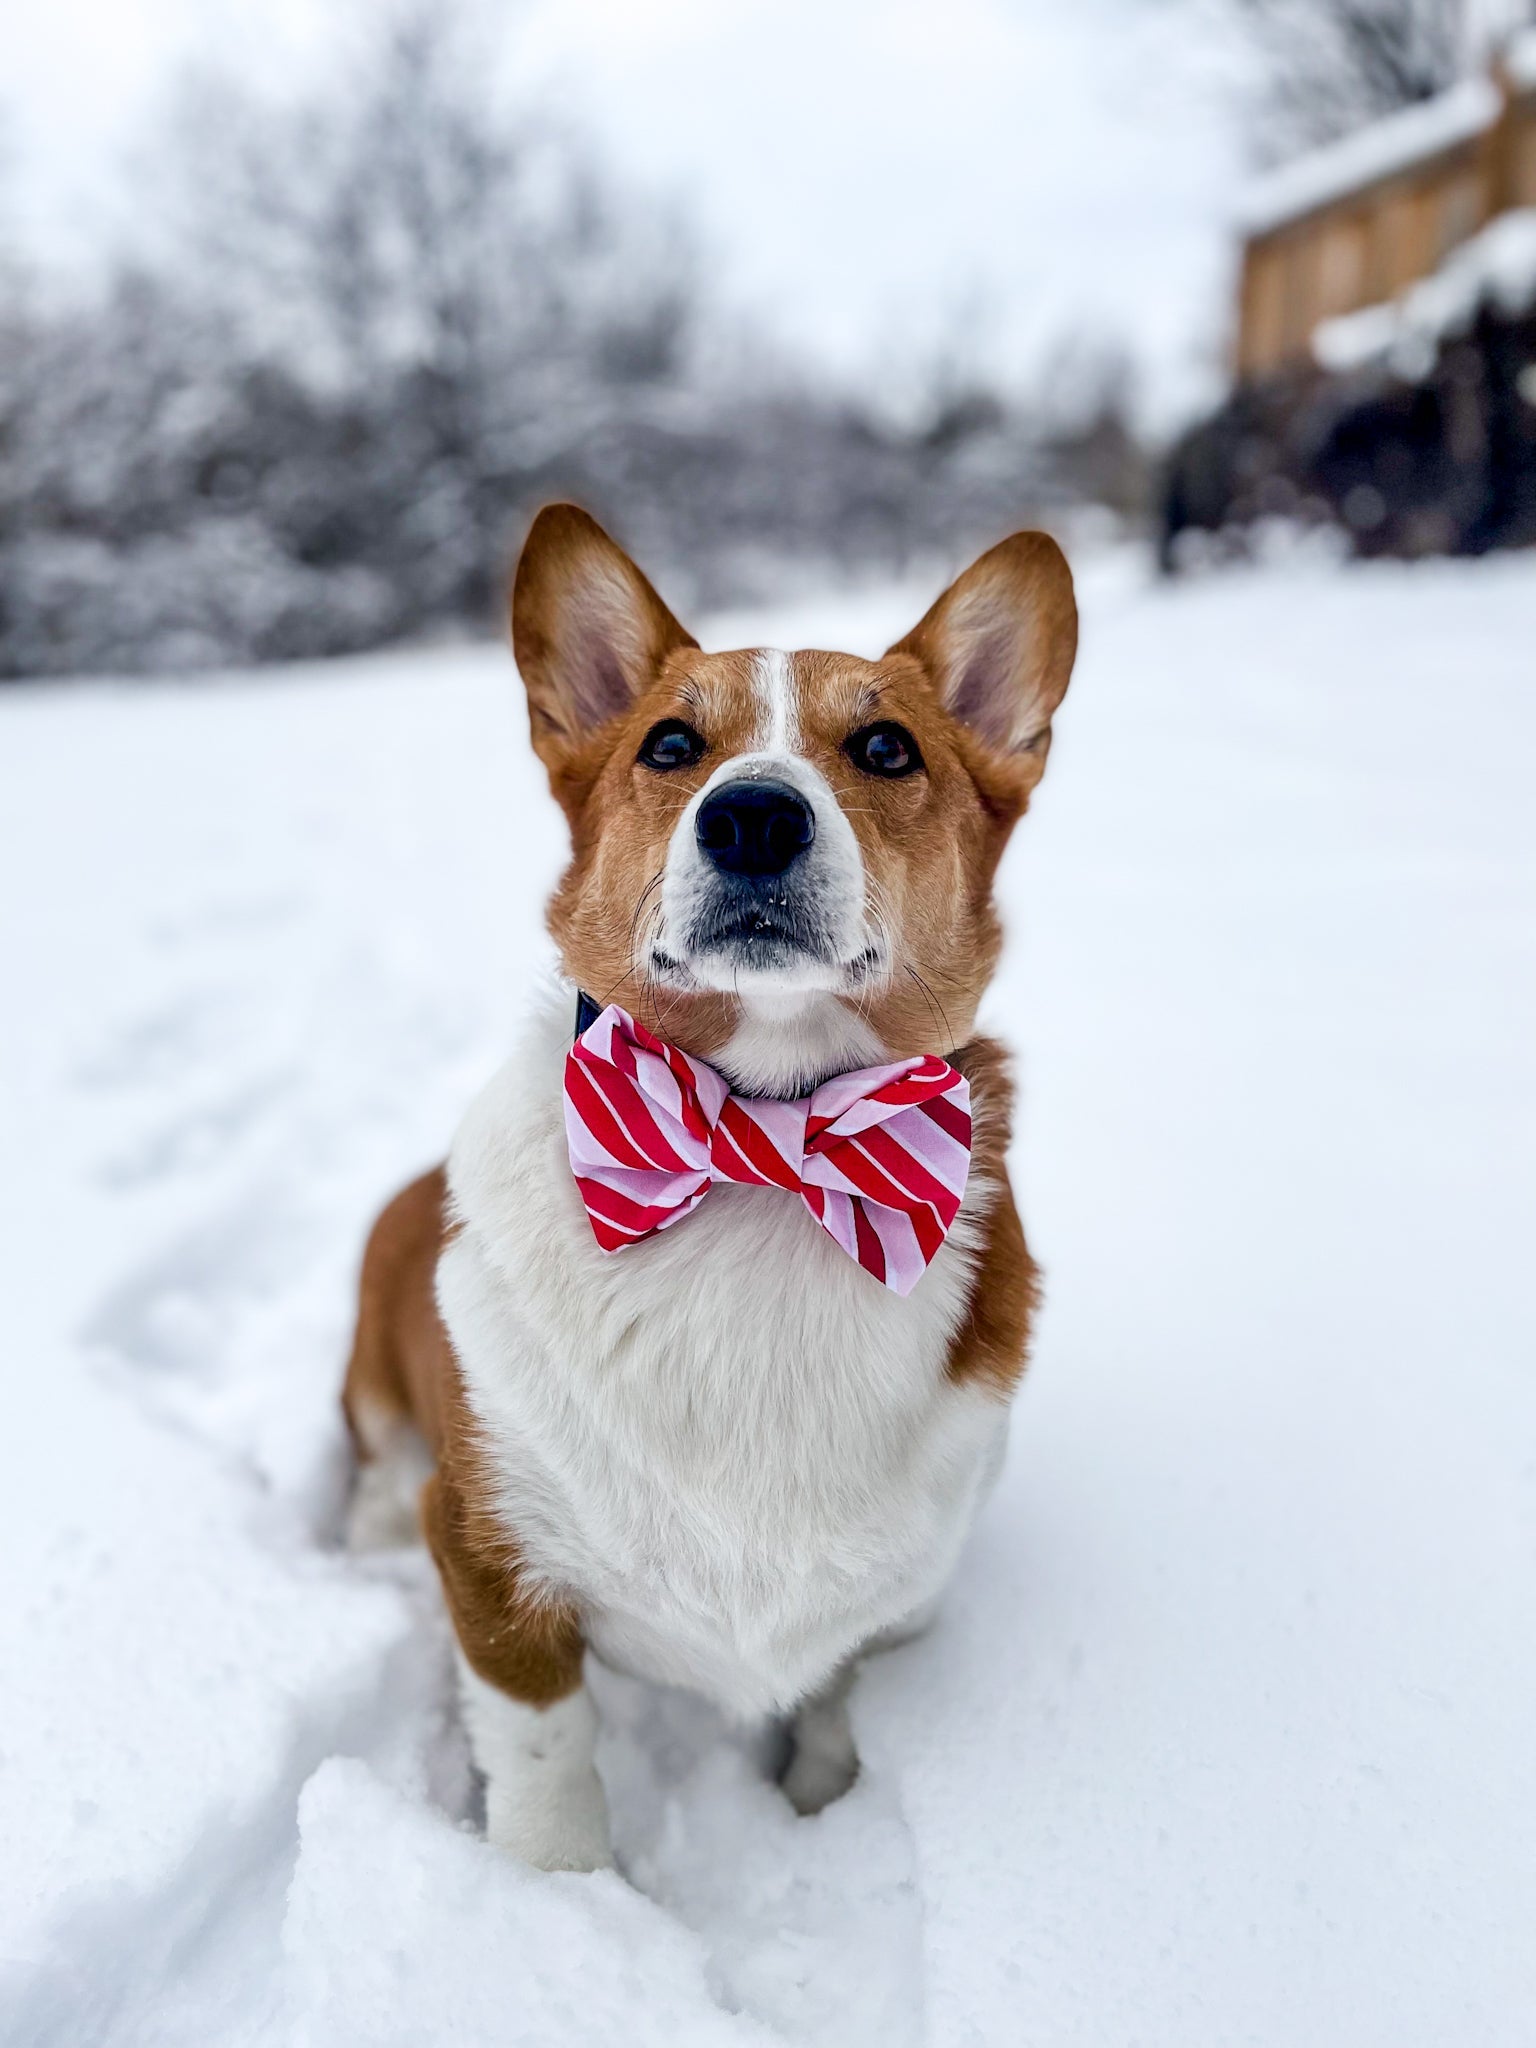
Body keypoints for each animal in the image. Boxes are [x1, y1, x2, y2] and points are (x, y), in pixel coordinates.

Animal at [342, 503, 1073, 1867]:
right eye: (671, 743)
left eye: (887, 746)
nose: (753, 817)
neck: (759, 1138)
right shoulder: (489, 1552)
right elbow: (547, 1764)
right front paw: (558, 1897)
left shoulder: (890, 1584)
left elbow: (833, 1699)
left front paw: (817, 1806)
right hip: (375, 1367)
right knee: (366, 1459)